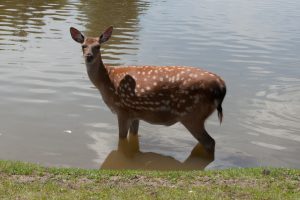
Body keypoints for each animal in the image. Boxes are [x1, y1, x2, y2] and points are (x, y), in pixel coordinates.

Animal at [69, 25, 225, 152]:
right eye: (83, 45)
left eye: (98, 46)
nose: (89, 56)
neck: (107, 81)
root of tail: (222, 87)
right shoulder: (135, 113)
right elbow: (133, 137)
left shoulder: (122, 110)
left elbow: (121, 138)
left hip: (192, 114)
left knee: (210, 141)